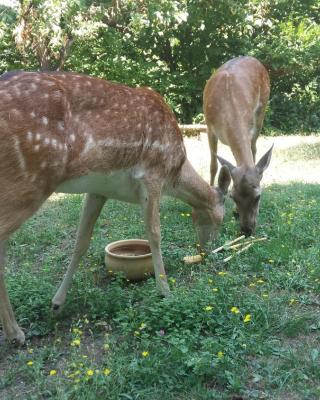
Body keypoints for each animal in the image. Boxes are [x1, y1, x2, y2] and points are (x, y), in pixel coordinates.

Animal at [0, 71, 230, 344]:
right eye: (223, 217)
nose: (209, 251)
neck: (175, 173)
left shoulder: (98, 189)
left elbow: (81, 241)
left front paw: (57, 303)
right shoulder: (152, 176)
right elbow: (155, 235)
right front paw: (165, 291)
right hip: (27, 182)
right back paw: (16, 333)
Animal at [205, 55, 272, 236]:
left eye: (258, 196)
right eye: (233, 196)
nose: (247, 230)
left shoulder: (249, 127)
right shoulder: (209, 128)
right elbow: (213, 166)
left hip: (262, 109)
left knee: (254, 150)